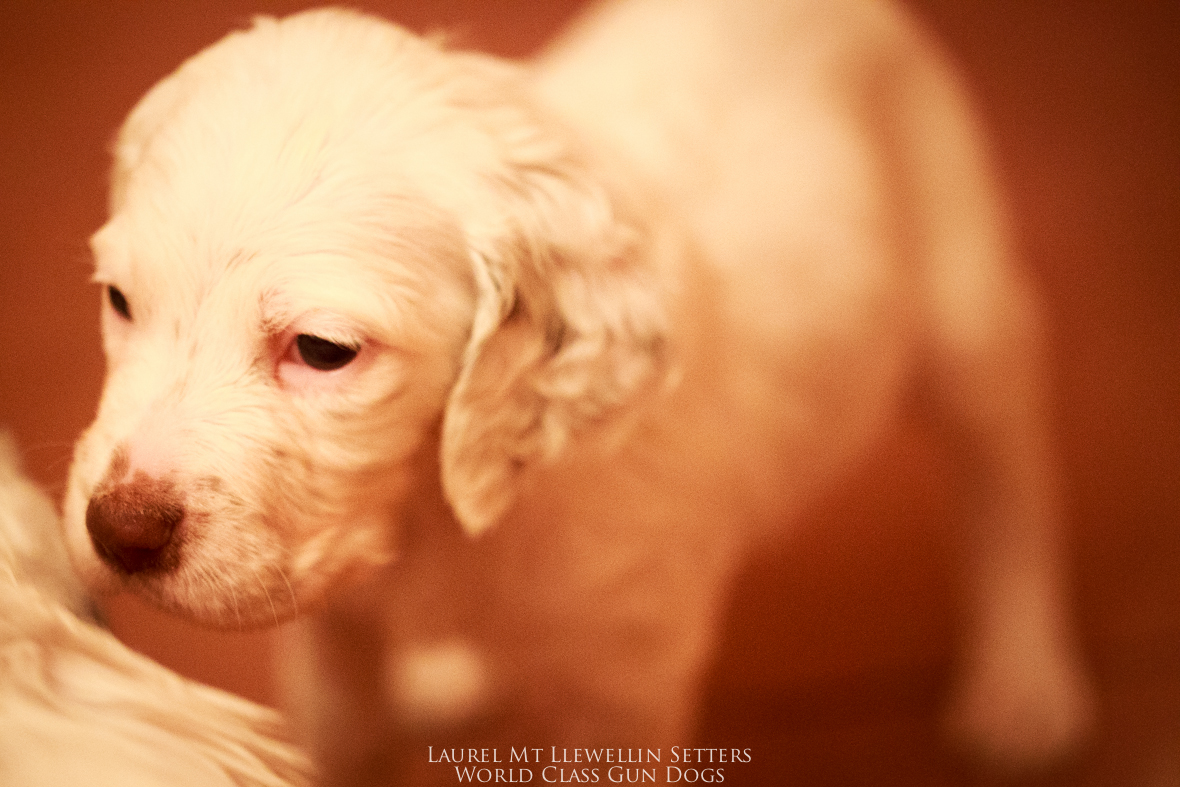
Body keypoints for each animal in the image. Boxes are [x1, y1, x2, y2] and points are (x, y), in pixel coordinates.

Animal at [62, 0, 1095, 783]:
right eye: (118, 301)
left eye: (323, 350)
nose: (118, 531)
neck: (433, 516)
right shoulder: (336, 647)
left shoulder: (623, 685)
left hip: (963, 308)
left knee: (1008, 469)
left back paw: (1024, 681)